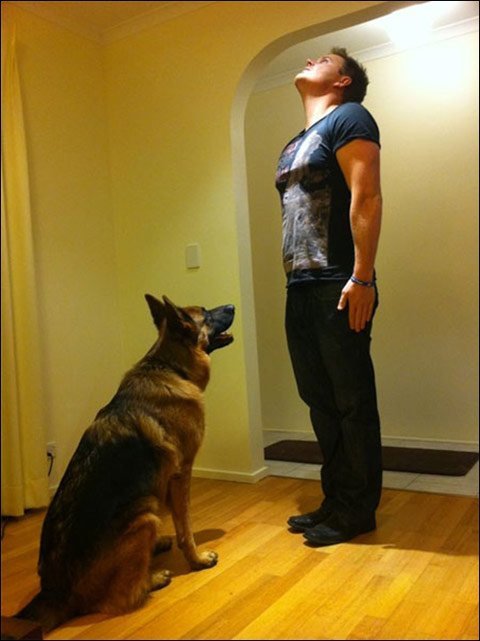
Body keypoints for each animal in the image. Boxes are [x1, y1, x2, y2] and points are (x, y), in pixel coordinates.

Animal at [16, 294, 234, 631]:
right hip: (144, 515)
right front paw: (197, 560)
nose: (233, 306)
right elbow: (185, 528)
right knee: (116, 601)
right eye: (206, 314)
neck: (171, 368)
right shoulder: (181, 474)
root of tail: (54, 591)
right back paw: (154, 578)